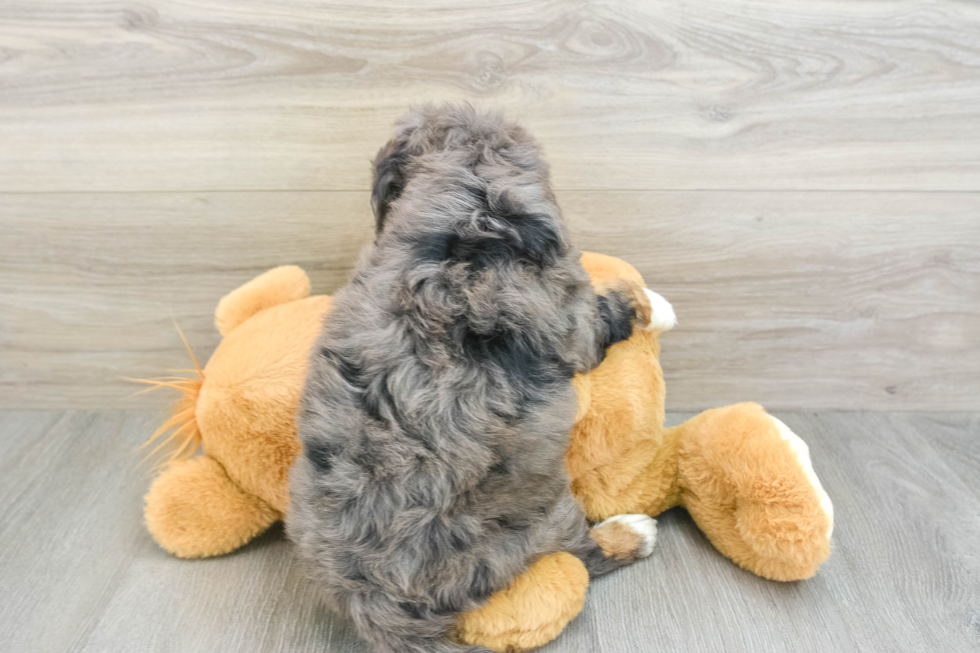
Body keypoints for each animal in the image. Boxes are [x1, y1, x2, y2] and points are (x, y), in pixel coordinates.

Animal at [288, 104, 664, 652]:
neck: (474, 195)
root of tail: (374, 602)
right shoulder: (572, 317)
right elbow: (611, 309)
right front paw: (654, 303)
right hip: (533, 523)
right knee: (580, 554)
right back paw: (632, 534)